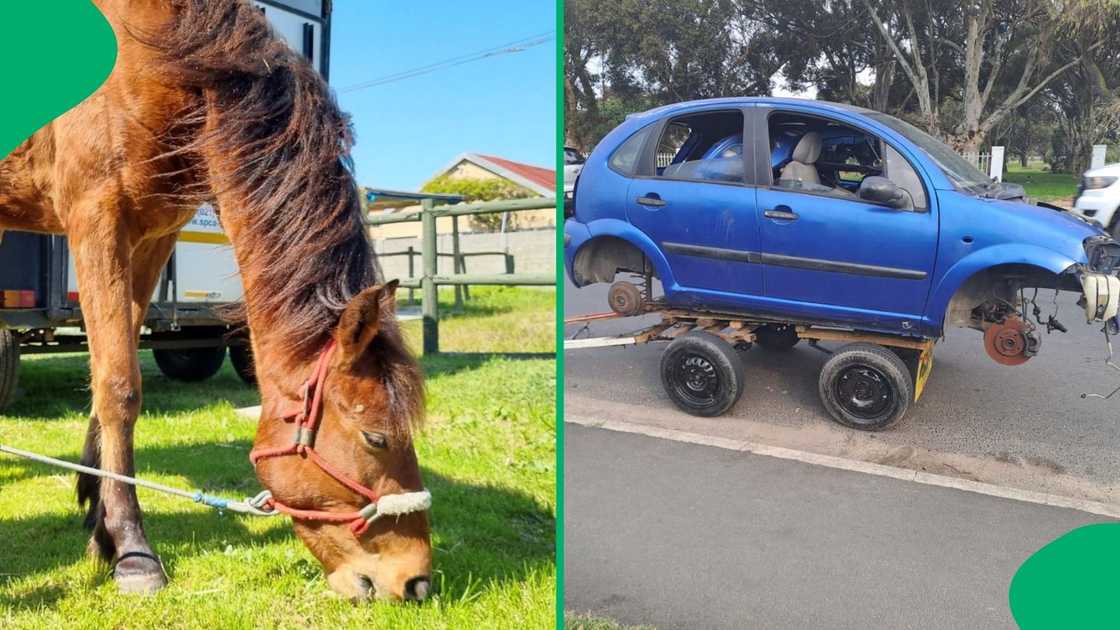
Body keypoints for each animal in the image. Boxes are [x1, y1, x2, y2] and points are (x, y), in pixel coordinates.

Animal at [0, 0, 432, 596]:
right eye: (375, 438)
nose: (417, 582)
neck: (161, 64)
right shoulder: (95, 219)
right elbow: (119, 387)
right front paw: (132, 550)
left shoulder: (152, 237)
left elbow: (111, 366)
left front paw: (98, 520)